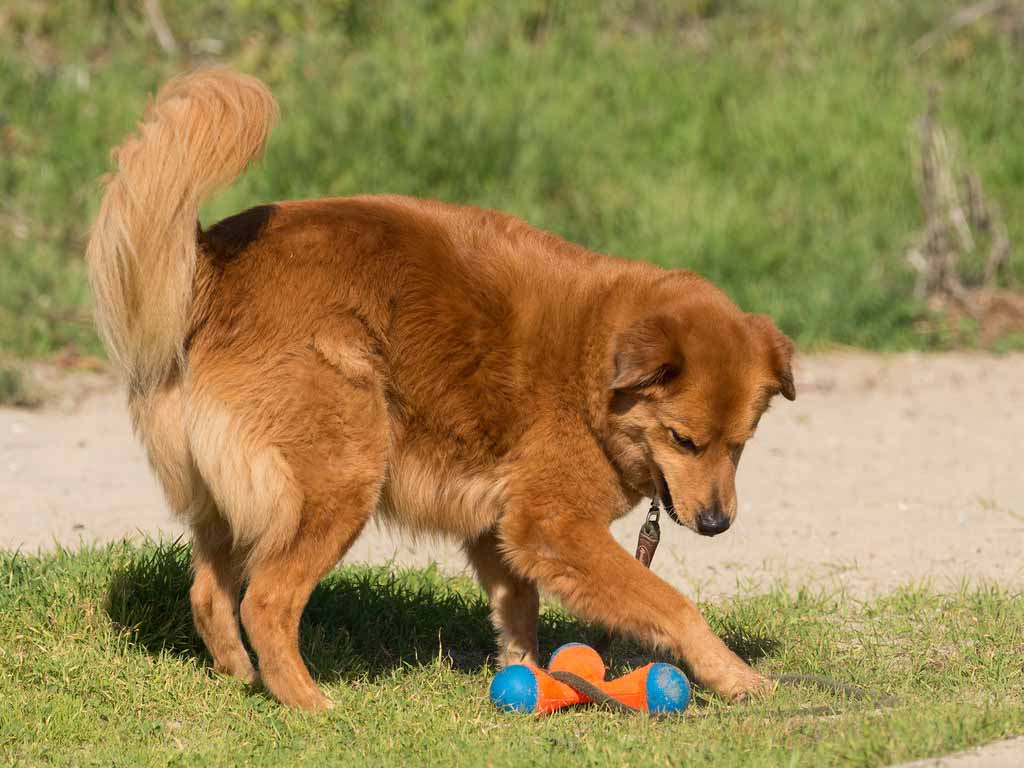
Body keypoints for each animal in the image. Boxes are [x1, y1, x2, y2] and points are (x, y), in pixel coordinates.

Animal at [86, 69, 790, 712]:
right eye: (683, 439)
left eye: (741, 444)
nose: (717, 523)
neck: (594, 362)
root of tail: (210, 266)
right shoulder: (553, 524)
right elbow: (670, 602)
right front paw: (734, 676)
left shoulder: (502, 530)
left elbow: (519, 608)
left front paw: (527, 676)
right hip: (342, 475)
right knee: (267, 600)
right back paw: (308, 703)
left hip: (242, 499)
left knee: (210, 593)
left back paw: (242, 678)